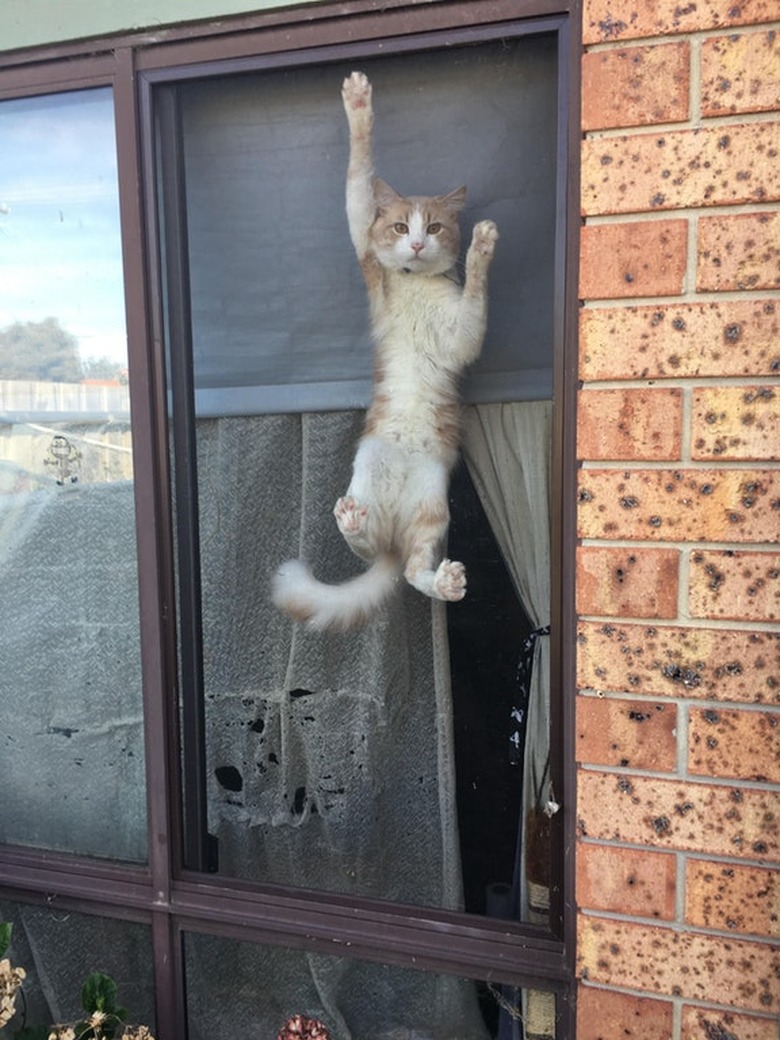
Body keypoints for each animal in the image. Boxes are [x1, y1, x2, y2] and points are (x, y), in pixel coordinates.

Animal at [272, 71, 497, 632]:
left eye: (433, 227)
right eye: (399, 226)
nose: (415, 245)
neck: (414, 283)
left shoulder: (463, 333)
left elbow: (475, 296)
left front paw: (482, 247)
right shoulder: (367, 258)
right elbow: (357, 178)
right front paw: (358, 105)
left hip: (433, 506)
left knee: (414, 570)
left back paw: (444, 580)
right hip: (367, 469)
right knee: (369, 550)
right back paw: (353, 522)